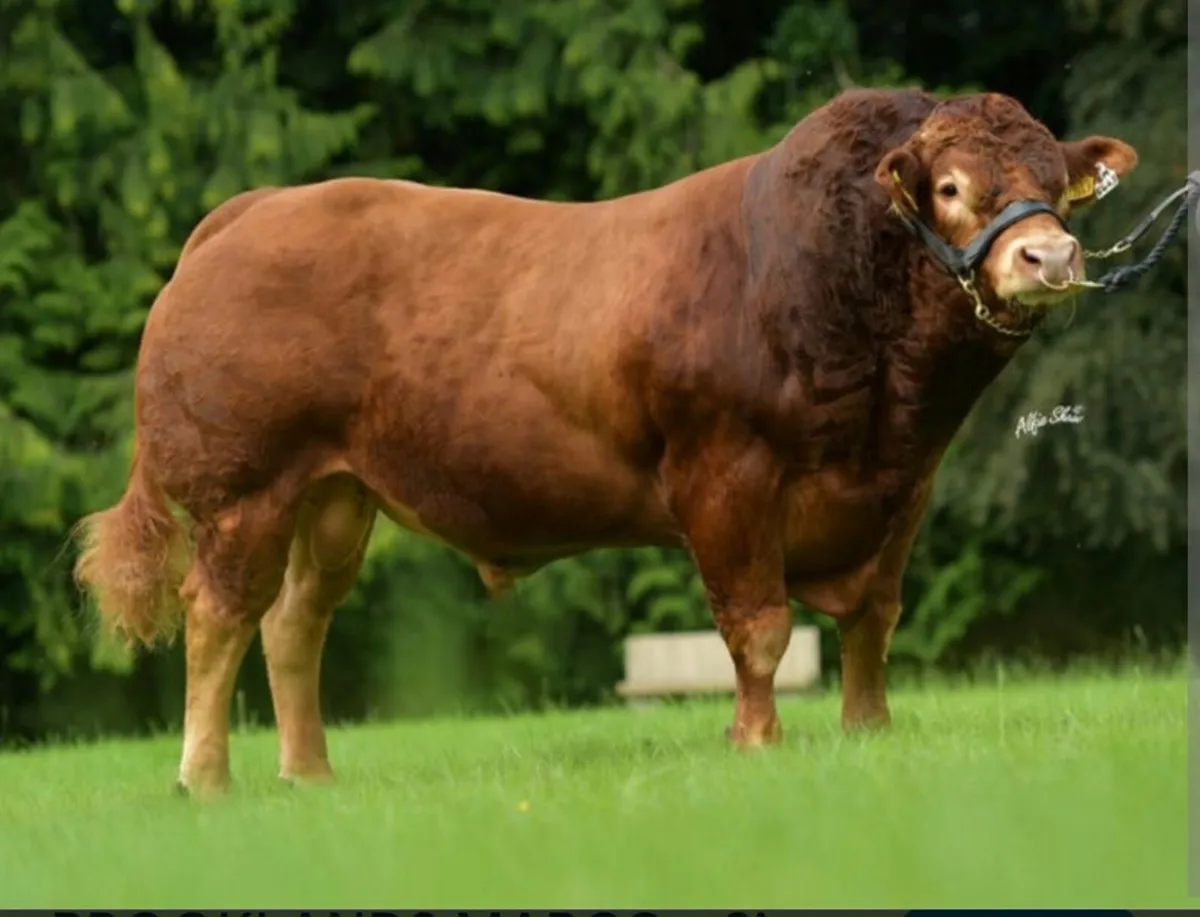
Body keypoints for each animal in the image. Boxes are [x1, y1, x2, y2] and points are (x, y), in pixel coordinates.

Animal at [73, 87, 1138, 796]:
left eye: (1060, 186)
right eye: (951, 185)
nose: (1049, 255)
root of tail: (249, 211)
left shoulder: (903, 487)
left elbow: (873, 617)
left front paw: (868, 730)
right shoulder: (727, 475)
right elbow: (758, 625)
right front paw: (758, 739)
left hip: (335, 495)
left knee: (294, 622)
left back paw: (311, 774)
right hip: (241, 490)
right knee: (218, 615)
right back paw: (206, 777)